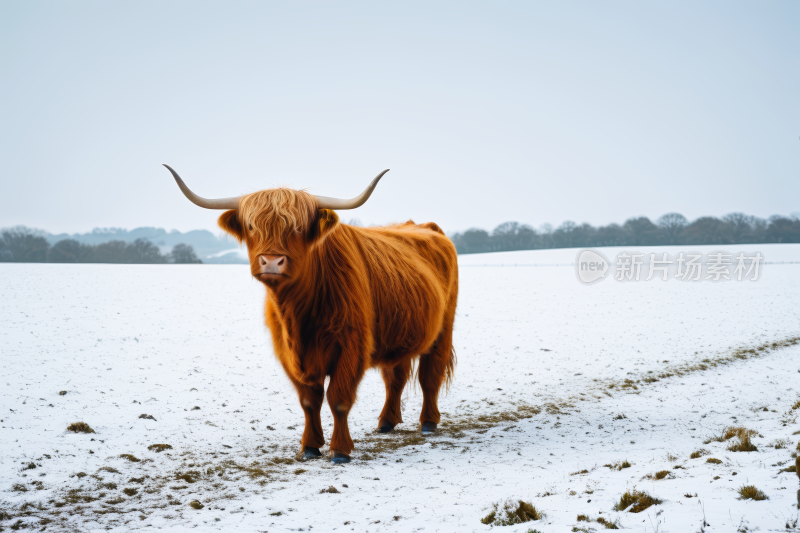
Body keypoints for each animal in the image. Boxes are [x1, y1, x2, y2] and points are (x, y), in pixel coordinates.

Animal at [164, 164, 456, 464]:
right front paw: (310, 447)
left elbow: (339, 400)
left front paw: (340, 451)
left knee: (430, 375)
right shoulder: (288, 354)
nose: (272, 261)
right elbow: (309, 401)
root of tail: (424, 226)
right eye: (251, 226)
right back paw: (386, 423)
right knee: (395, 377)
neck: (298, 313)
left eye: (298, 227)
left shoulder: (351, 347)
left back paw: (428, 423)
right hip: (398, 333)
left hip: (443, 328)